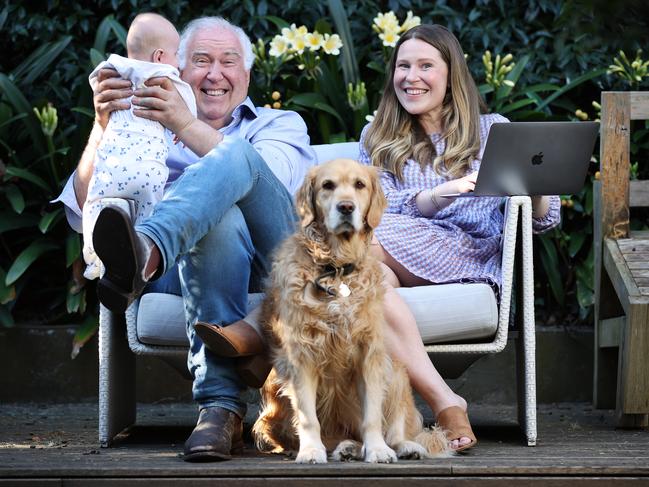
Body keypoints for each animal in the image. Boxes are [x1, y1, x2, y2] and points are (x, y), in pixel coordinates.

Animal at [253, 159, 450, 466]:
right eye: (327, 185)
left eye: (360, 185)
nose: (346, 207)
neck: (337, 267)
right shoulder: (301, 354)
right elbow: (308, 417)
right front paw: (311, 451)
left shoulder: (368, 352)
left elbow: (372, 416)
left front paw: (378, 450)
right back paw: (344, 448)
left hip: (395, 372)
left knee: (395, 427)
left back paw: (402, 446)